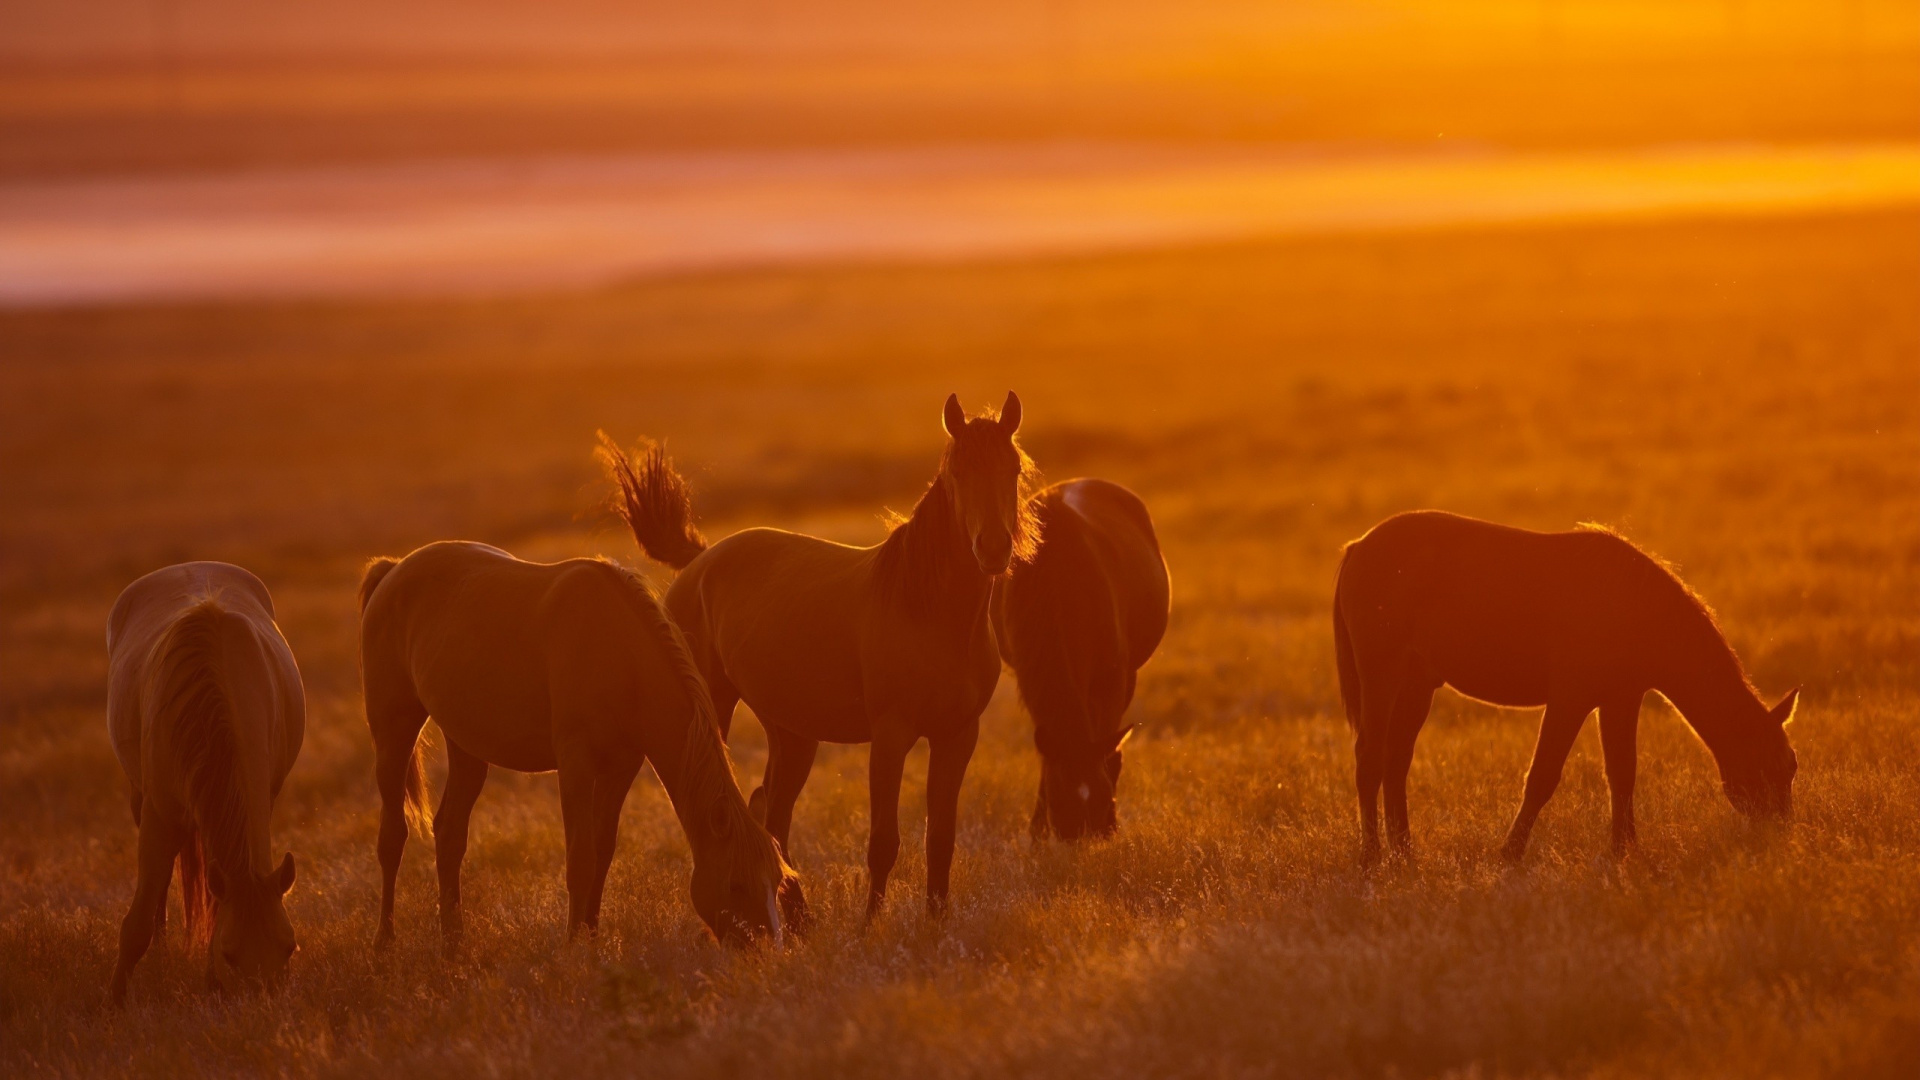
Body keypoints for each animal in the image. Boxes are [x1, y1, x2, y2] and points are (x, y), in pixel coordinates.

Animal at [105, 562, 304, 1006]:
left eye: (289, 947)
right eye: (230, 954)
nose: (263, 1004)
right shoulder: (159, 814)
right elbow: (137, 922)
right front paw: (116, 1002)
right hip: (139, 800)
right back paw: (160, 952)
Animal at [357, 541, 801, 952]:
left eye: (777, 880)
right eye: (736, 883)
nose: (766, 950)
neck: (620, 656)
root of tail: (393, 570)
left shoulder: (621, 767)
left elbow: (602, 853)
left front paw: (591, 936)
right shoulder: (576, 765)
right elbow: (580, 858)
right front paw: (573, 946)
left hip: (466, 745)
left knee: (450, 834)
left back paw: (453, 942)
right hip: (393, 732)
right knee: (392, 837)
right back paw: (384, 942)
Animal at [601, 391, 1037, 918]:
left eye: (1013, 468)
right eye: (958, 471)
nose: (992, 548)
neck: (930, 613)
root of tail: (699, 560)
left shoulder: (957, 735)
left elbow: (941, 840)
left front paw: (936, 923)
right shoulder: (890, 735)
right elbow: (883, 841)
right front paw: (870, 926)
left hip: (792, 733)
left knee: (772, 811)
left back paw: (800, 917)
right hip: (717, 709)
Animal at [992, 478, 1169, 841]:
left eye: (1102, 798)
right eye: (1059, 800)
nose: (1079, 834)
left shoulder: (1114, 675)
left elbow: (1108, 742)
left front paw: (1112, 825)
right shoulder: (1028, 675)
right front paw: (1036, 830)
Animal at [1333, 510, 1799, 865]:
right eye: (1778, 765)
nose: (1783, 834)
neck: (1637, 606)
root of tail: (1359, 547)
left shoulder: (1621, 700)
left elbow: (1623, 773)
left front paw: (1624, 852)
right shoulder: (1570, 699)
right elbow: (1543, 776)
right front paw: (1510, 854)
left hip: (1417, 685)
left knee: (1396, 761)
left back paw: (1405, 854)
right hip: (1382, 676)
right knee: (1370, 758)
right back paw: (1372, 857)